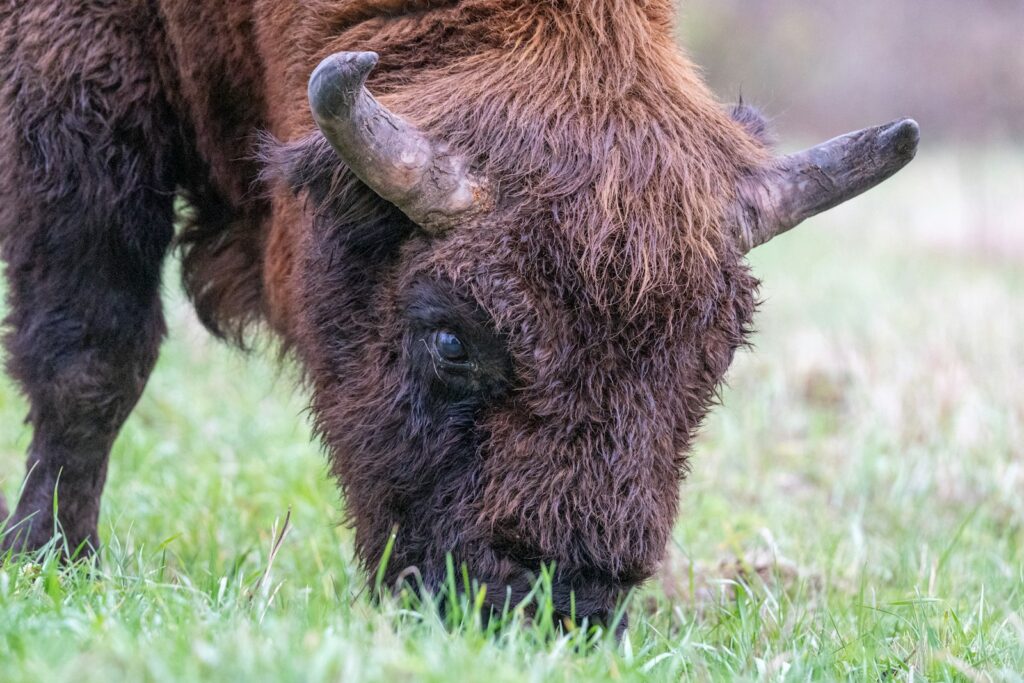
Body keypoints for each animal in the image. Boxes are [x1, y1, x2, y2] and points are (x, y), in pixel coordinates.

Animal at [0, 1, 918, 627]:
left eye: (715, 355)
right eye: (449, 336)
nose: (561, 605)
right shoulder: (77, 95)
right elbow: (94, 360)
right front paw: (50, 557)